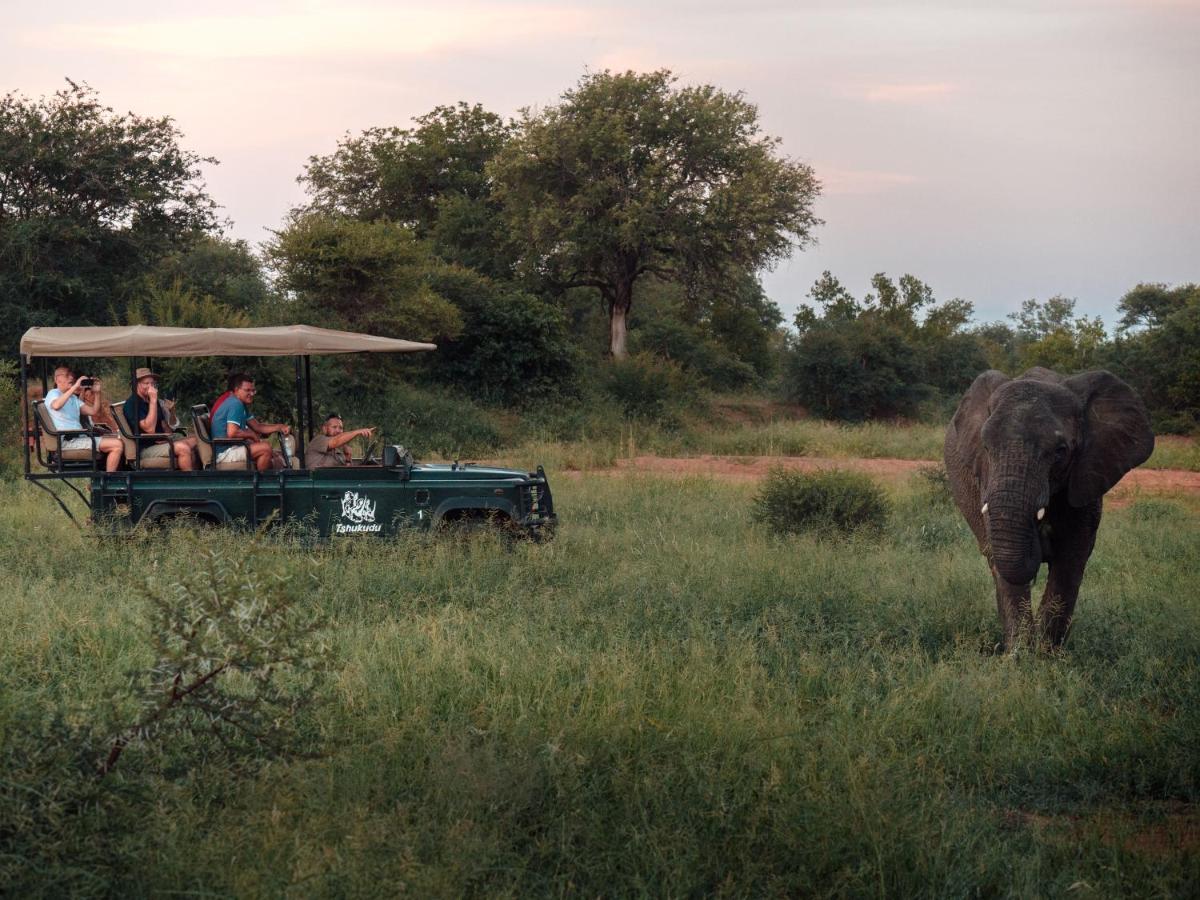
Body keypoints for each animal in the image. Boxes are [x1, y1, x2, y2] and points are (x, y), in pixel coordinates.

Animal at [945, 369, 1152, 652]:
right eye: (986, 447)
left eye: (1060, 451)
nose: (1039, 537)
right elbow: (1004, 567)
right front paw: (1020, 655)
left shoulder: (1086, 479)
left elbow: (1069, 562)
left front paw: (1046, 655)